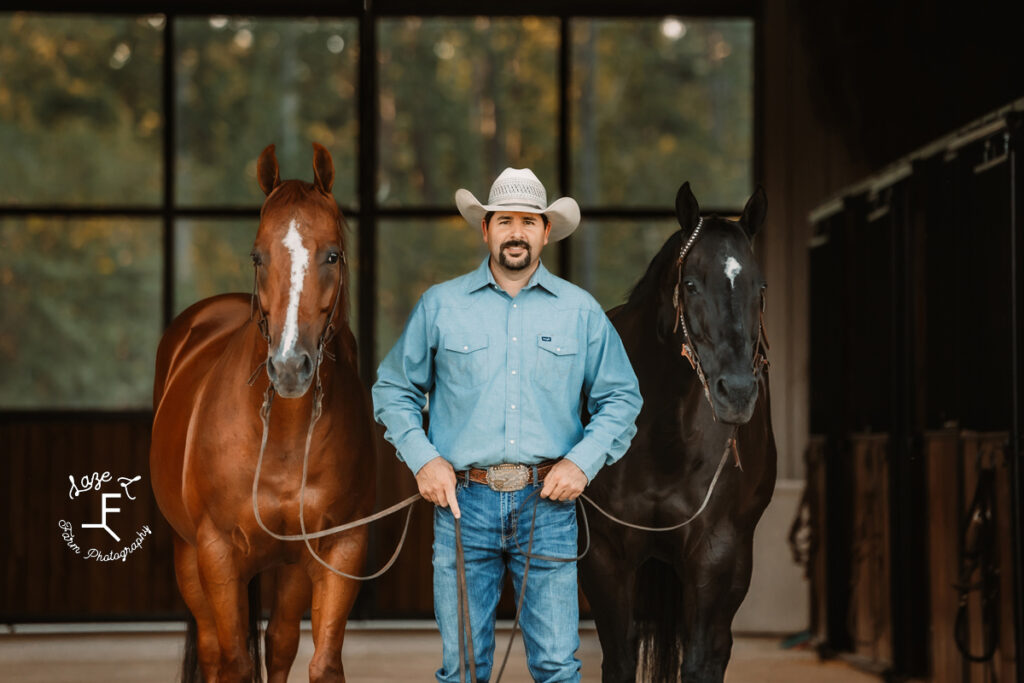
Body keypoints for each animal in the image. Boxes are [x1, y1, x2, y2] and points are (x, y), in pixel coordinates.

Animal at [149, 144, 374, 683]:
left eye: (331, 254)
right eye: (258, 254)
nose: (290, 367)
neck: (284, 435)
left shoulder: (341, 548)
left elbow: (320, 662)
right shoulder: (218, 554)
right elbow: (235, 661)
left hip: (290, 567)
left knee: (280, 643)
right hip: (189, 557)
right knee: (216, 652)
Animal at [581, 183, 770, 683]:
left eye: (760, 287)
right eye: (691, 284)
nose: (737, 393)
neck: (662, 438)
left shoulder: (715, 554)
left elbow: (701, 661)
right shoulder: (606, 556)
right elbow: (620, 659)